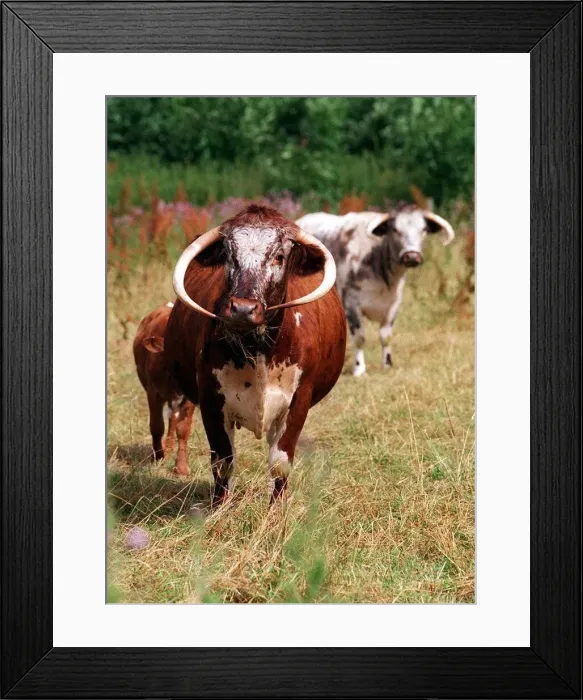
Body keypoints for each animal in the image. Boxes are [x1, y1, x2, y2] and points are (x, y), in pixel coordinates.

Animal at [133, 302, 195, 476]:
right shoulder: (153, 393)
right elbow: (156, 425)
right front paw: (157, 457)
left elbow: (183, 429)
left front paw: (182, 467)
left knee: (173, 419)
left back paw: (169, 448)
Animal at [165, 204, 346, 506]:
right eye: (229, 255)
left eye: (279, 256)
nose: (242, 309)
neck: (258, 350)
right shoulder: (211, 398)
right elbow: (223, 461)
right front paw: (219, 509)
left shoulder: (299, 400)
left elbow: (280, 462)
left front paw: (276, 511)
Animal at [296, 204, 454, 376]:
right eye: (395, 229)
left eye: (423, 229)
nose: (412, 257)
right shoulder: (351, 304)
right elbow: (359, 338)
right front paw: (359, 369)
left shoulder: (393, 305)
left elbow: (386, 337)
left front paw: (387, 364)